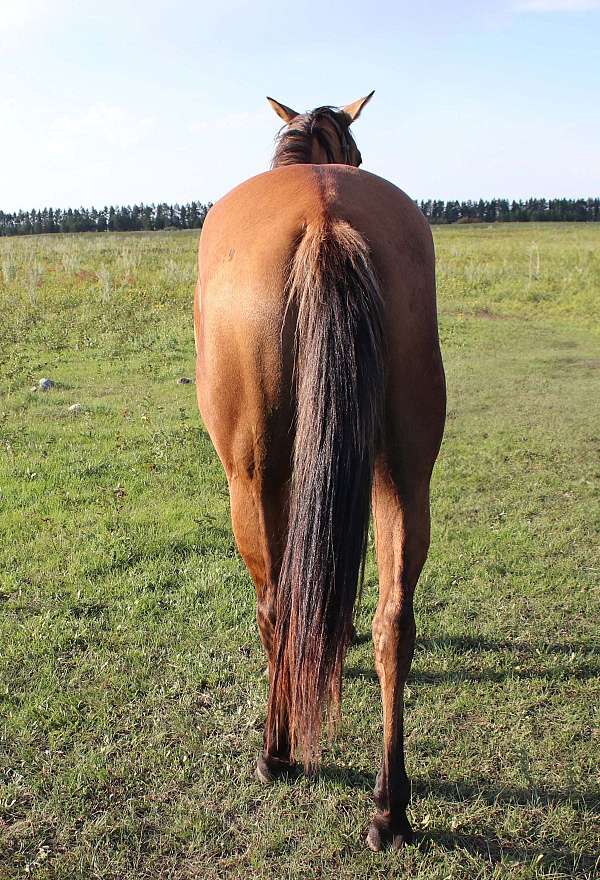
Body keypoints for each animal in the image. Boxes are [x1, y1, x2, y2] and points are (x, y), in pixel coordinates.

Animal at [193, 93, 446, 851]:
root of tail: (325, 216)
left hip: (251, 477)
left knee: (276, 605)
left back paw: (276, 751)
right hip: (405, 470)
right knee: (396, 620)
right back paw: (390, 805)